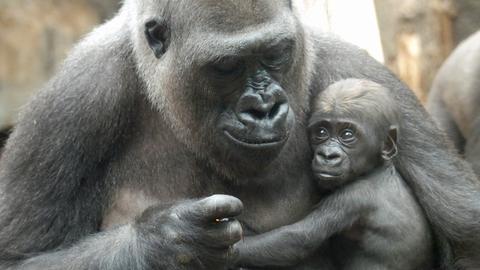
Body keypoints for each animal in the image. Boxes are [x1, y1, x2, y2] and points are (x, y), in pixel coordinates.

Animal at [234, 78, 434, 270]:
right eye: (321, 132)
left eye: (347, 135)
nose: (328, 155)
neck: (378, 168)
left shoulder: (351, 198)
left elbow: (296, 239)